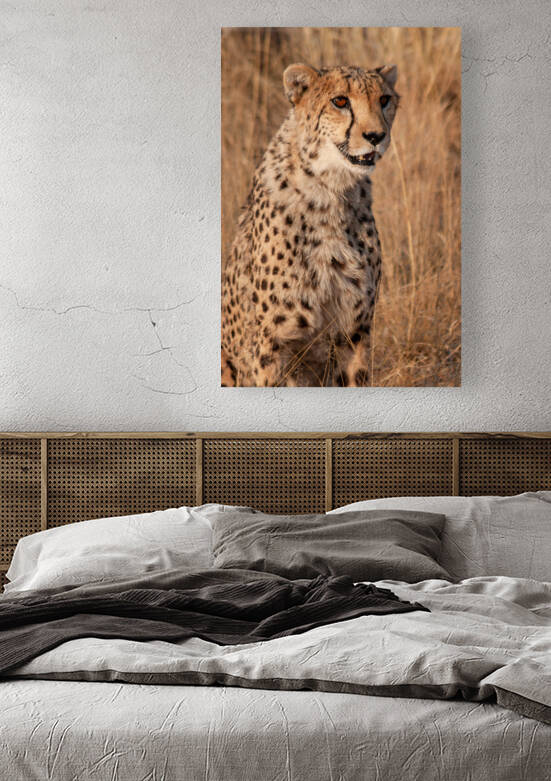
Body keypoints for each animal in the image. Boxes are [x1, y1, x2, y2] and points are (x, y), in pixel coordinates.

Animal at [221, 62, 399, 386]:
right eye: (340, 101)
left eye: (384, 100)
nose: (376, 136)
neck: (331, 190)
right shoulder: (272, 342)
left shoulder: (353, 331)